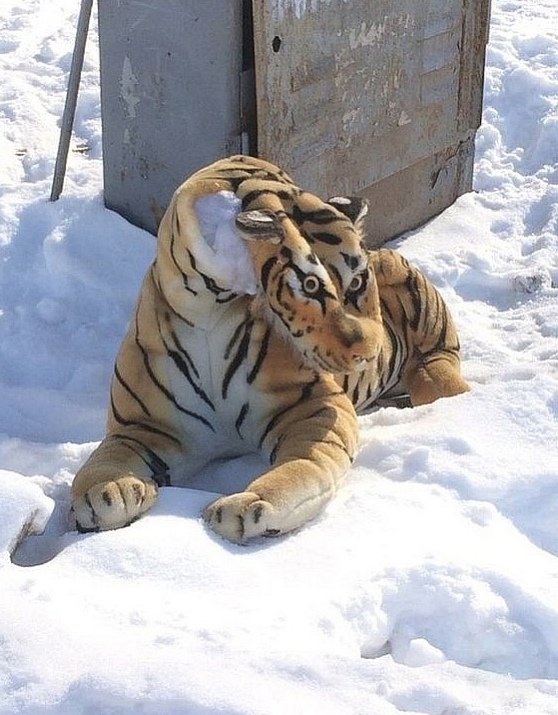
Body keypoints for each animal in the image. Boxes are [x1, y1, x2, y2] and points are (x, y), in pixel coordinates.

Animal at [70, 155, 469, 543]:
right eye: (310, 285)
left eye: (356, 282)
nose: (367, 353)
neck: (208, 308)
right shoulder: (144, 426)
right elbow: (105, 460)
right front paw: (107, 493)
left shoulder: (314, 409)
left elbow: (301, 468)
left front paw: (248, 504)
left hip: (415, 303)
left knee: (439, 363)